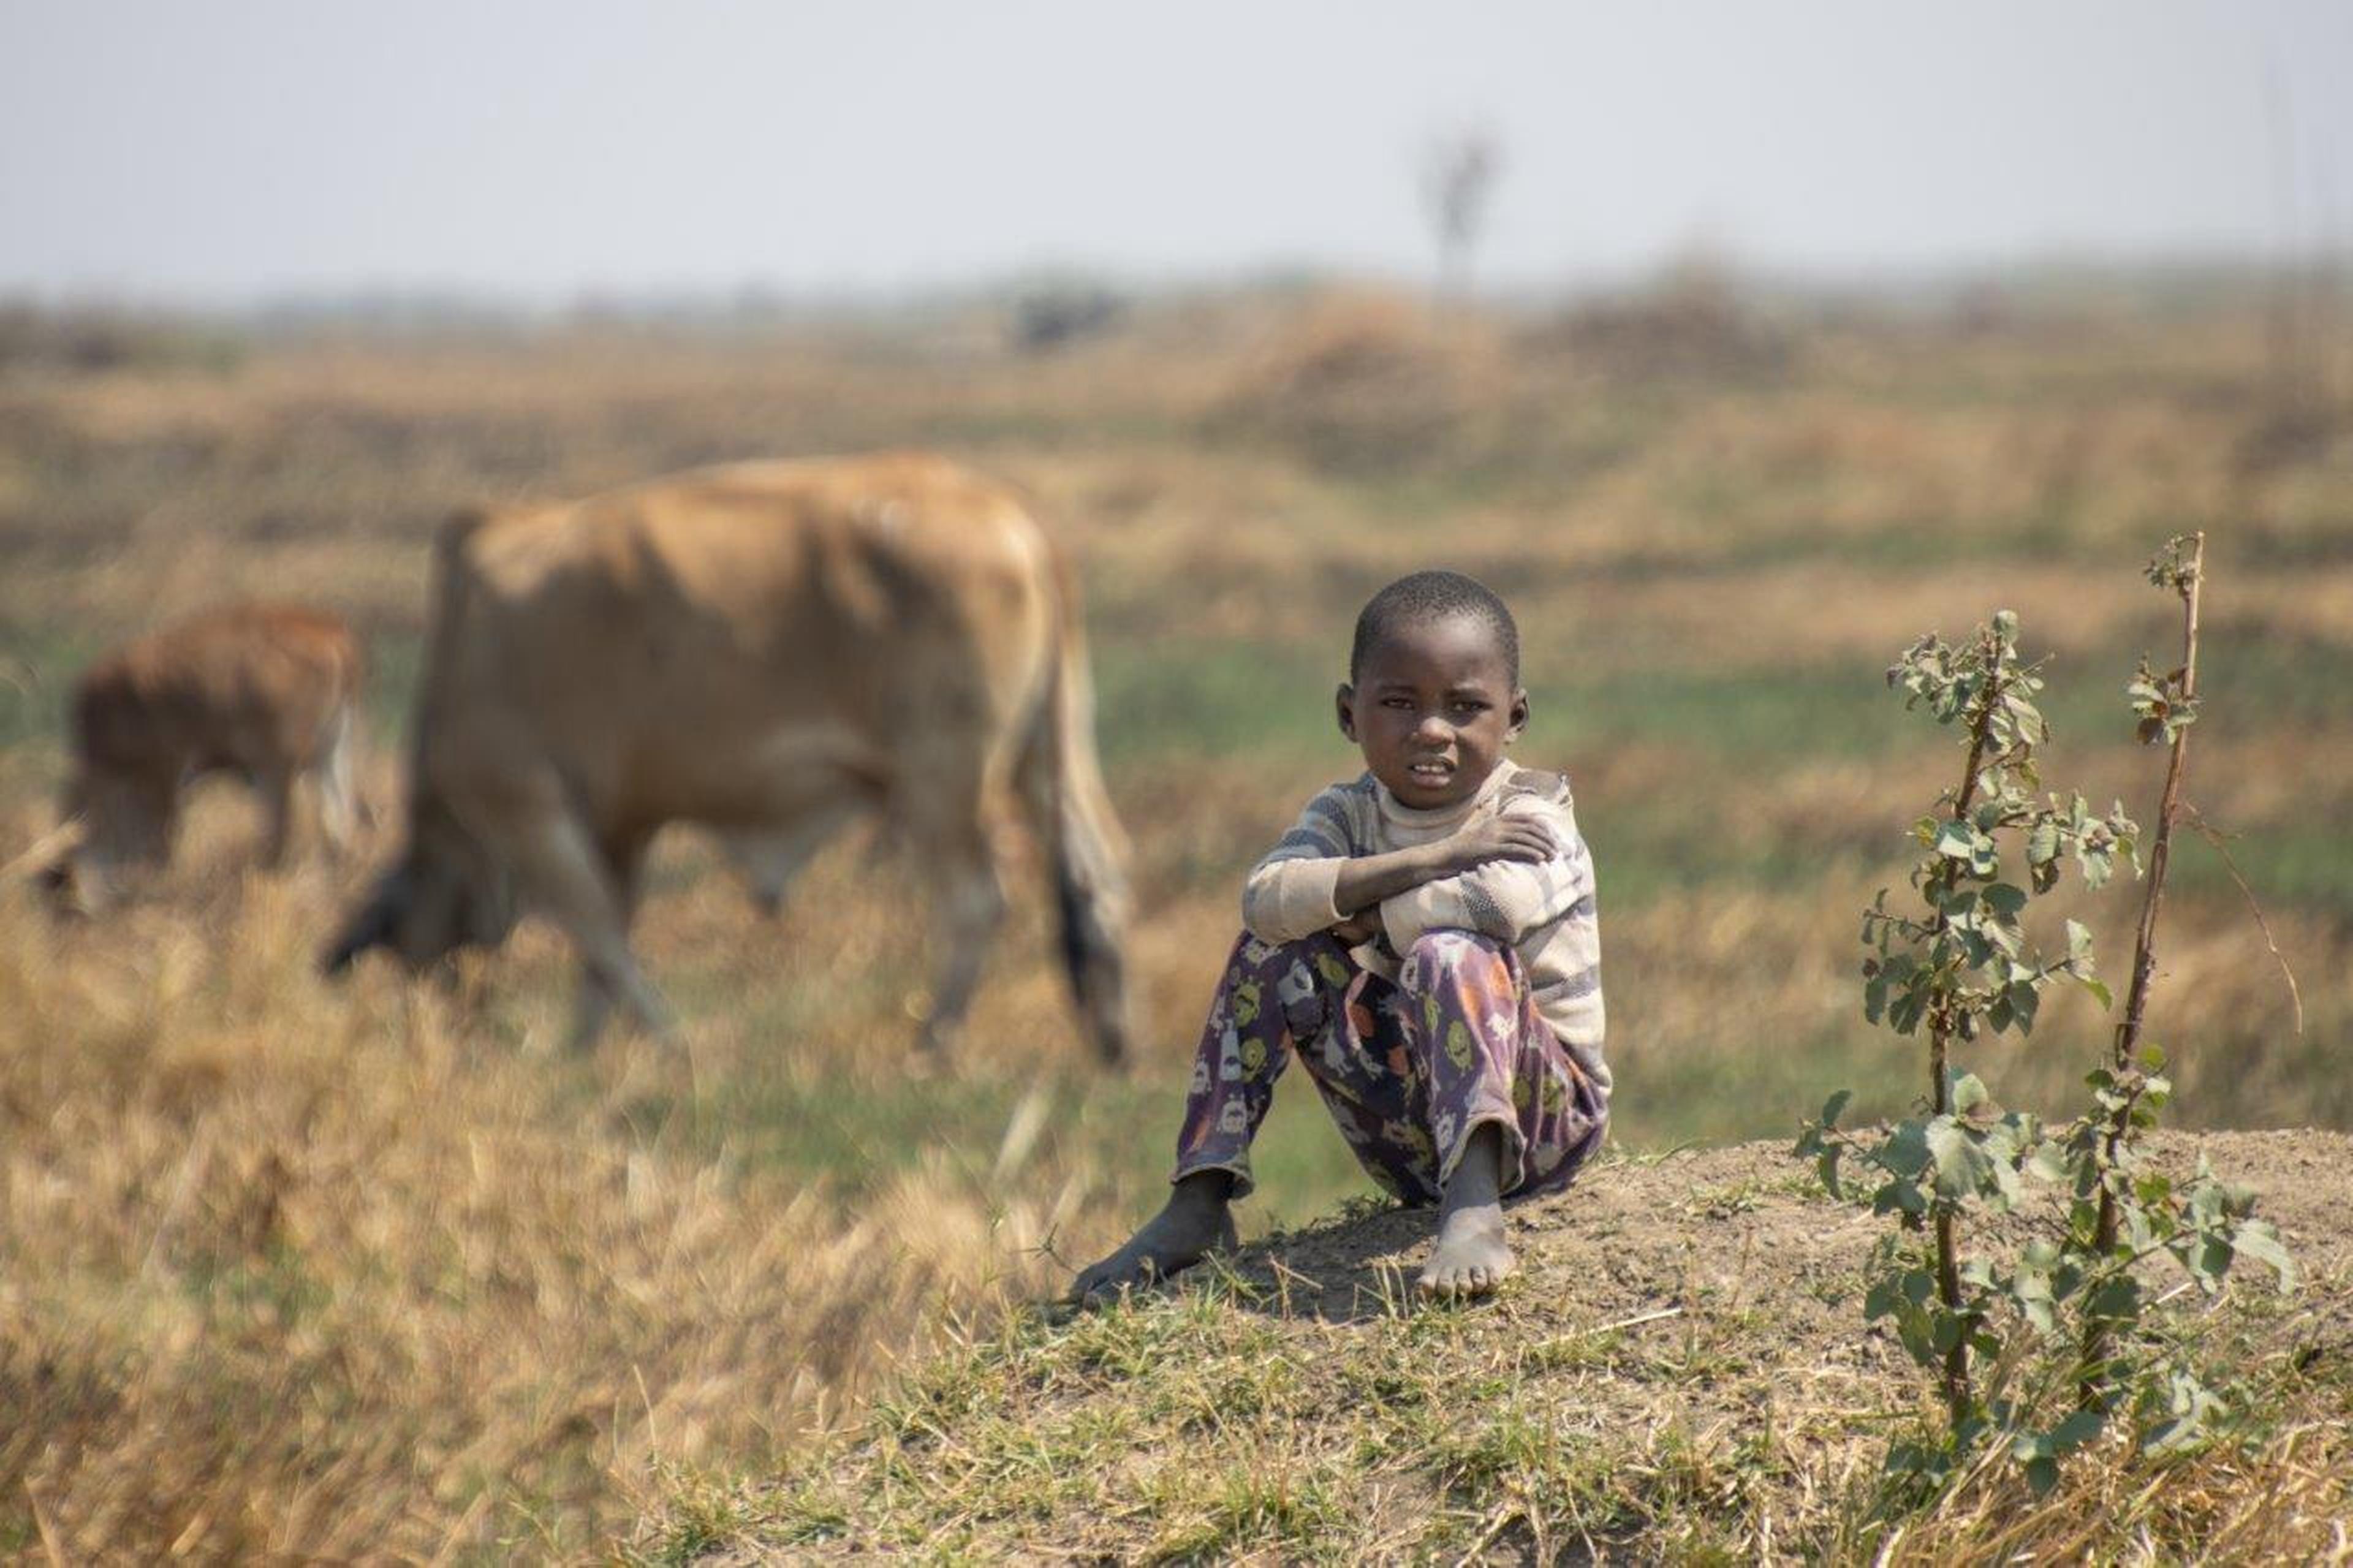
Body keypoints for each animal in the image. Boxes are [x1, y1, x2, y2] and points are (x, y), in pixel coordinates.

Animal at [39, 603, 366, 910]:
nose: (67, 910)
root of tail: (331, 635)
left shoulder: (164, 775)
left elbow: (161, 845)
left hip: (276, 768)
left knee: (282, 837)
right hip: (330, 757)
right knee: (338, 830)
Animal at [322, 452, 1135, 1064]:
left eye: (406, 953)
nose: (445, 1027)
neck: (458, 652)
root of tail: (1009, 513)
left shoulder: (527, 803)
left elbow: (597, 930)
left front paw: (661, 1040)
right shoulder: (620, 824)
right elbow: (606, 936)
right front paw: (585, 1047)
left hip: (944, 778)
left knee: (975, 900)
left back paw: (935, 1042)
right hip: (1043, 758)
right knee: (1097, 870)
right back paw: (1115, 1038)